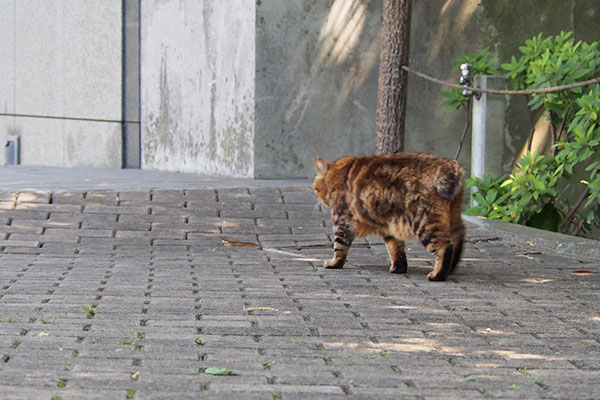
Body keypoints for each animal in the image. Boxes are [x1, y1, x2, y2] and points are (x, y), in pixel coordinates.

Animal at [312, 153, 466, 282]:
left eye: (316, 189)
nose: (318, 199)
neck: (339, 173)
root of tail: (450, 166)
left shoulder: (342, 221)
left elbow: (339, 247)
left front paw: (334, 263)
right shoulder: (389, 226)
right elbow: (396, 249)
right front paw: (398, 268)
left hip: (424, 222)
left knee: (445, 247)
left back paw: (438, 275)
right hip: (452, 218)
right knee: (457, 241)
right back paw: (450, 269)